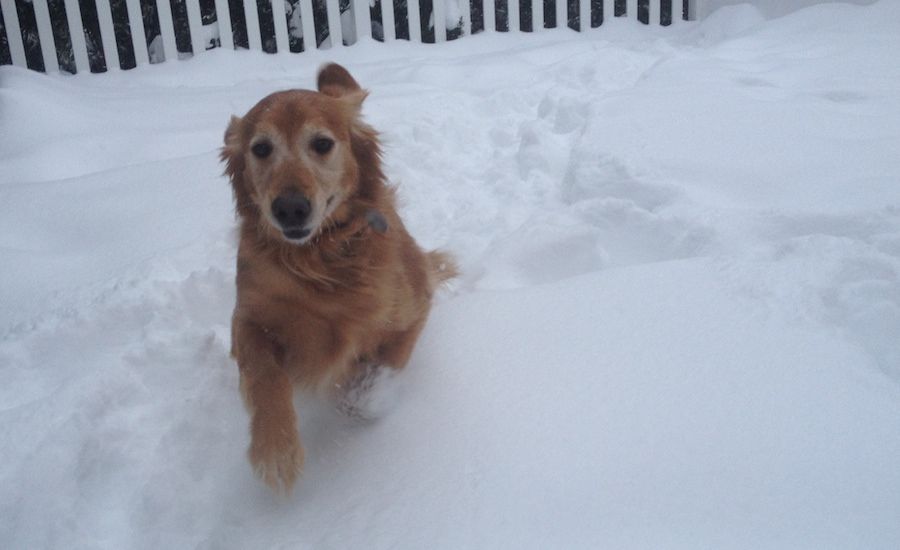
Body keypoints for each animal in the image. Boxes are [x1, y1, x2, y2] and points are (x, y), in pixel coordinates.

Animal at [219, 62, 458, 494]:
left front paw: (366, 398)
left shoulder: (414, 308)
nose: (290, 209)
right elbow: (264, 375)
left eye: (322, 143)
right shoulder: (247, 317)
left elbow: (387, 363)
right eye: (260, 148)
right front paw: (275, 450)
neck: (320, 259)